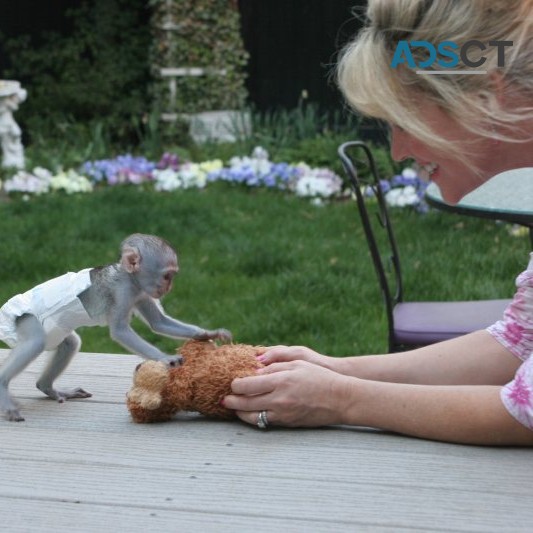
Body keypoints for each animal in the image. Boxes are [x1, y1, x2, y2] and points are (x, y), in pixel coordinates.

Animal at [0, 233, 231, 420]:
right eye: (167, 276)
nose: (169, 287)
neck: (130, 278)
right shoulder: (124, 292)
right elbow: (120, 331)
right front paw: (165, 358)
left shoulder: (141, 292)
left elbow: (159, 323)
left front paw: (209, 333)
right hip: (24, 318)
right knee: (35, 341)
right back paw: (3, 388)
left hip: (54, 332)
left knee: (69, 344)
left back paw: (48, 388)